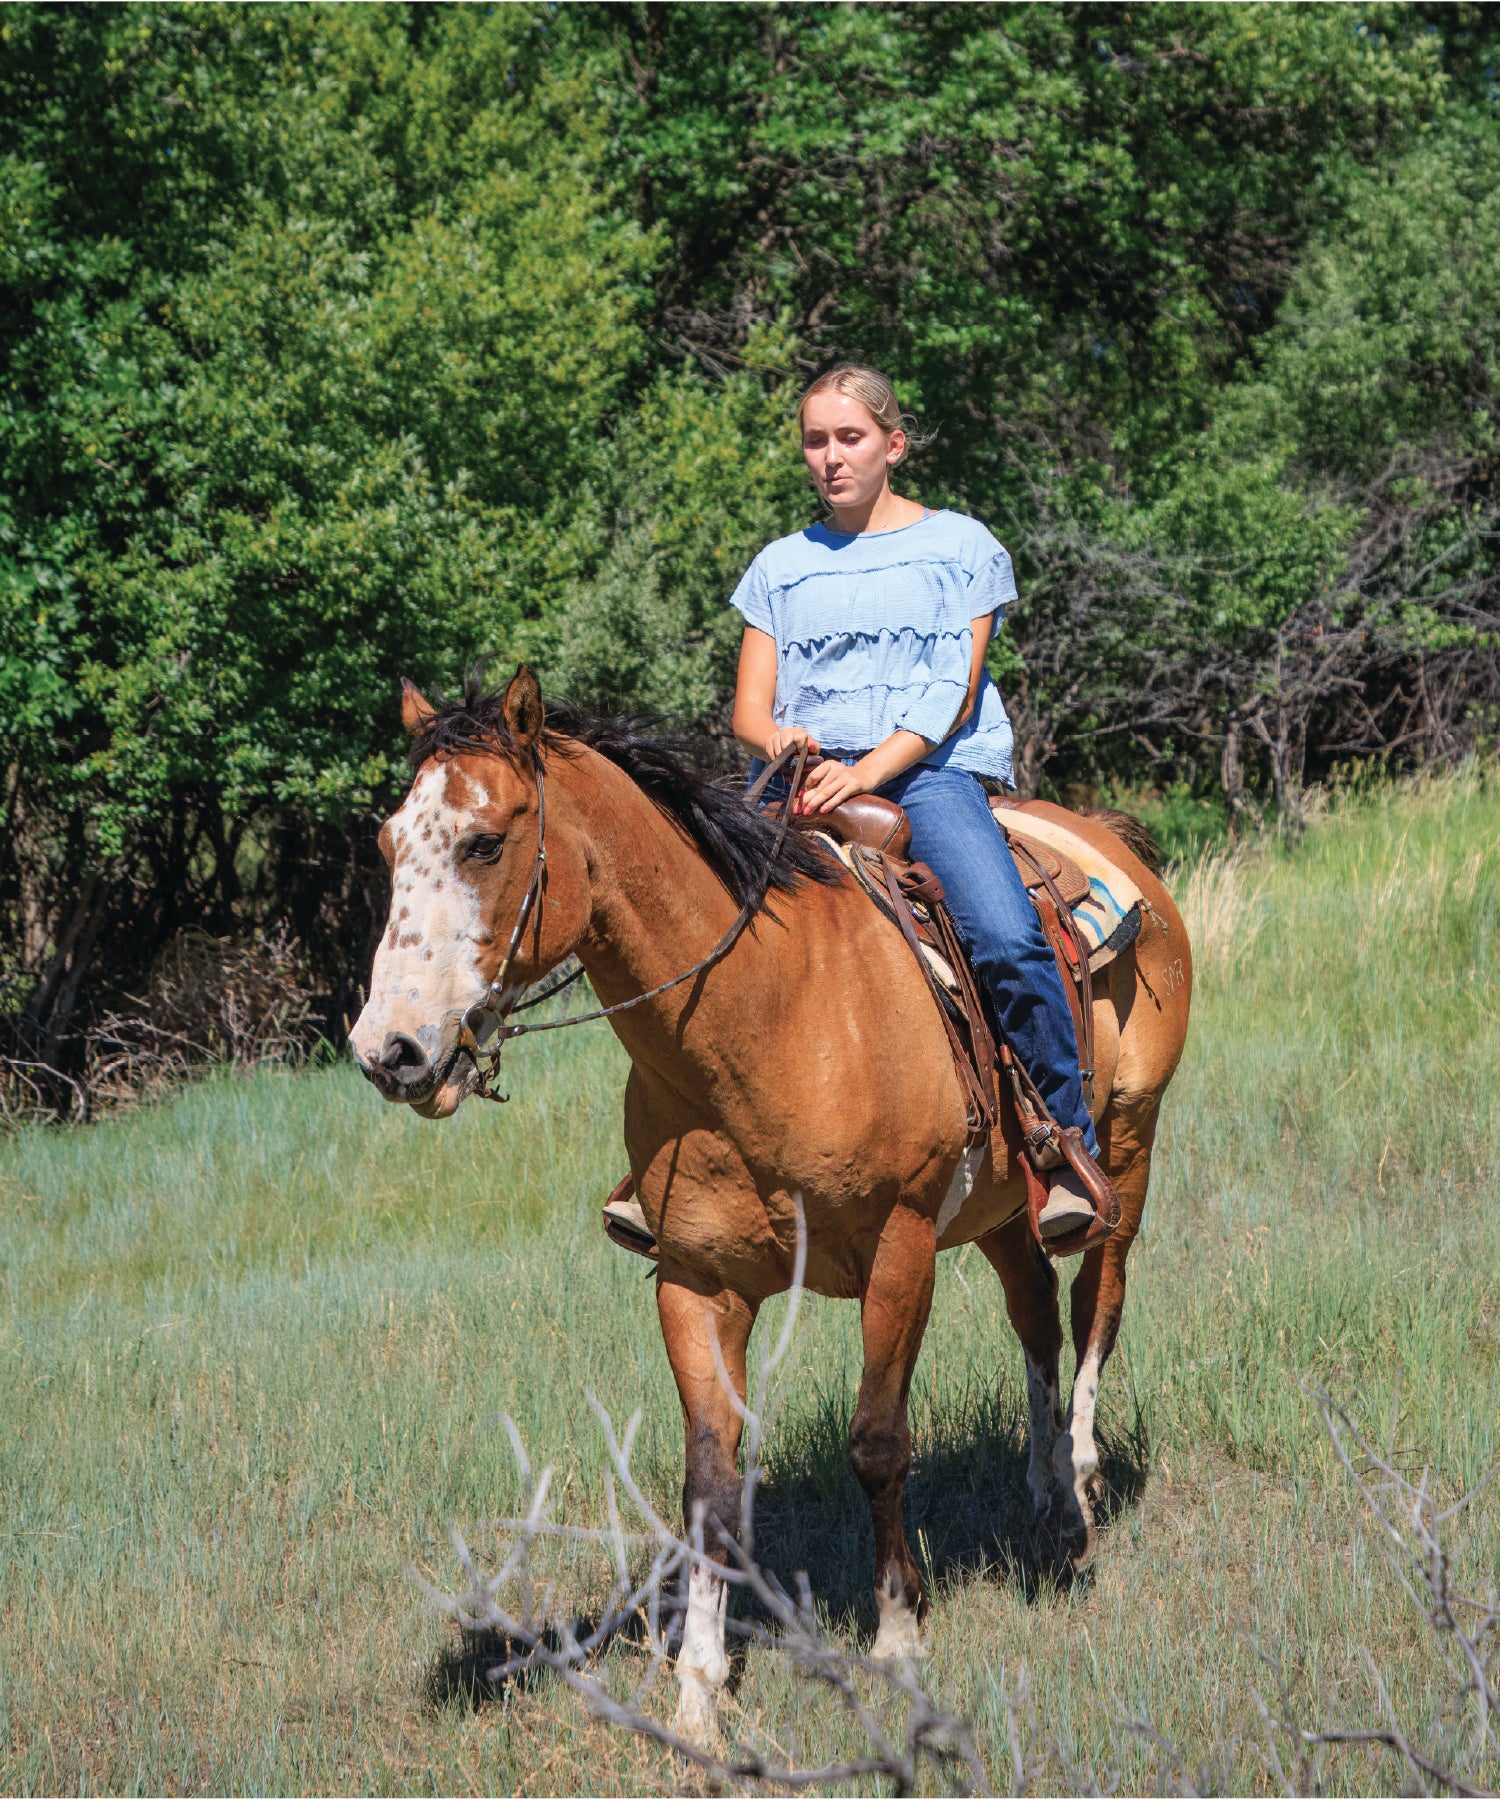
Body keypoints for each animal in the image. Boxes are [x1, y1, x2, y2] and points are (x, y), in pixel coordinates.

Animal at [349, 666, 1192, 1739]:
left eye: (485, 841)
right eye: (388, 844)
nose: (389, 1050)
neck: (771, 1014)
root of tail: (1110, 840)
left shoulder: (900, 1247)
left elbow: (878, 1444)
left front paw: (898, 1635)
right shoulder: (695, 1283)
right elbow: (709, 1485)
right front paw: (698, 1692)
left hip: (1128, 1145)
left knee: (1097, 1304)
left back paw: (1080, 1488)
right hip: (1001, 1203)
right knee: (1035, 1312)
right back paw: (1045, 1504)